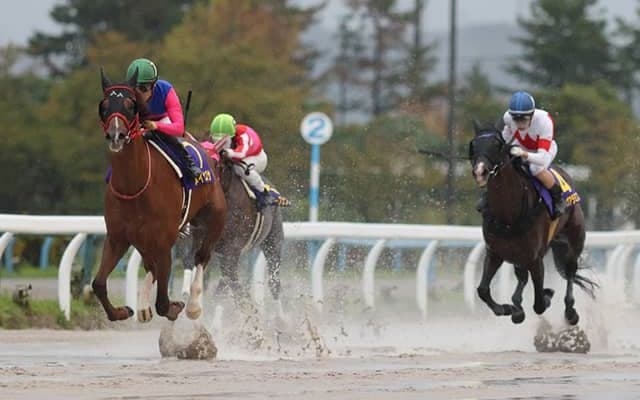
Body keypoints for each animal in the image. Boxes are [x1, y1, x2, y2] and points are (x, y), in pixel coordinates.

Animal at [93, 68, 226, 322]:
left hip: (214, 217)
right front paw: (122, 310)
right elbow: (98, 284)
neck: (134, 187)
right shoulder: (117, 238)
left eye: (130, 104)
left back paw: (193, 305)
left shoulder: (165, 241)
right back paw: (144, 307)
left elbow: (164, 303)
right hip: (143, 241)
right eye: (104, 105)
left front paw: (177, 306)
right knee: (151, 268)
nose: (116, 135)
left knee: (201, 257)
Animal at [468, 123, 596, 325]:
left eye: (497, 145)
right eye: (473, 145)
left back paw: (570, 312)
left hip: (572, 242)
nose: (480, 172)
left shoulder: (535, 258)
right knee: (522, 277)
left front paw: (546, 295)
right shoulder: (495, 253)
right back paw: (517, 306)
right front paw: (507, 308)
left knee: (569, 272)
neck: (508, 216)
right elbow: (482, 290)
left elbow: (539, 304)